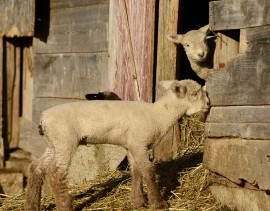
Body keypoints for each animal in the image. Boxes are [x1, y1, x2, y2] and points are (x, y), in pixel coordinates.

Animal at [24, 79, 210, 211]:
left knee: (36, 168)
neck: (158, 115)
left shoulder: (132, 145)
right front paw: (158, 203)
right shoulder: (140, 143)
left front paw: (137, 201)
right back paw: (65, 207)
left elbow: (136, 171)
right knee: (56, 174)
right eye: (194, 93)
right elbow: (148, 171)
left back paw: (32, 205)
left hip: (53, 143)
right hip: (65, 140)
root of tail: (43, 119)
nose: (208, 104)